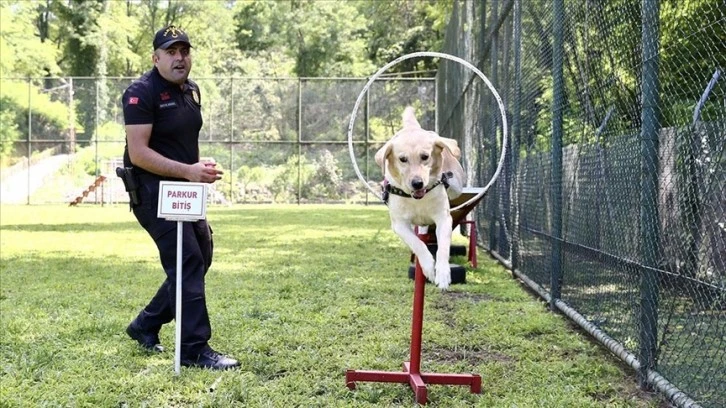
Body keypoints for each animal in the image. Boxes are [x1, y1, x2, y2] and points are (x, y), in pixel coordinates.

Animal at [378, 106, 464, 290]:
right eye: (403, 159)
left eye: (425, 157)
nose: (417, 183)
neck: (417, 200)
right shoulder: (399, 225)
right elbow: (418, 244)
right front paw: (429, 268)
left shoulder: (443, 219)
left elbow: (443, 247)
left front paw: (442, 274)